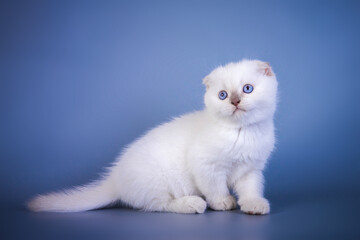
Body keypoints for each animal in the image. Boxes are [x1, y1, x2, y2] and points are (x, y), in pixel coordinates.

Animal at [27, 59, 278, 215]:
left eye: (247, 89)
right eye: (223, 95)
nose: (235, 101)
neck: (242, 133)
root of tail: (115, 179)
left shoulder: (251, 170)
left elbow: (251, 189)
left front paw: (254, 205)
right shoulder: (207, 166)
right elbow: (215, 188)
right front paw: (223, 202)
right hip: (159, 182)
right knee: (160, 205)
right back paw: (192, 203)